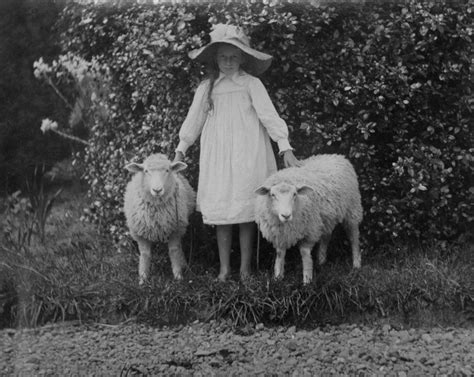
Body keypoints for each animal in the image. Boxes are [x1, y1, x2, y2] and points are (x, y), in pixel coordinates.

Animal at [124, 152, 196, 282]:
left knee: (179, 248)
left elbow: (174, 251)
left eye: (167, 170)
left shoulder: (174, 230)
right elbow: (145, 254)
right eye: (146, 171)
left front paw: (178, 276)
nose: (157, 190)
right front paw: (143, 278)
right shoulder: (140, 234)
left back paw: (184, 264)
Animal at [256, 153, 362, 282]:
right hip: (326, 216)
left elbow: (305, 253)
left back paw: (356, 264)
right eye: (272, 195)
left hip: (352, 208)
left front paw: (307, 280)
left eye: (295, 194)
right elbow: (280, 254)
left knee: (354, 237)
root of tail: (336, 156)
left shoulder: (309, 231)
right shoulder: (279, 235)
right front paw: (278, 277)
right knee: (326, 236)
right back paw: (321, 260)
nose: (286, 215)